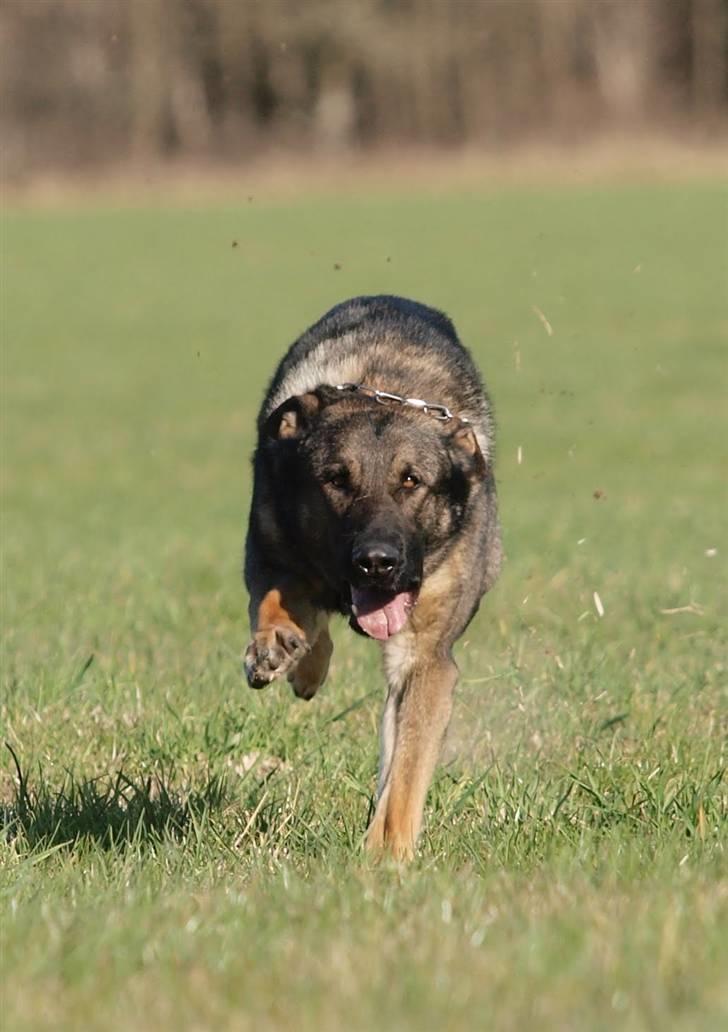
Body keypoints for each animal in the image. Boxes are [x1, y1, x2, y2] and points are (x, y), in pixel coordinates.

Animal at [243, 295, 499, 858]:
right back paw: (302, 662)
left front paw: (387, 853)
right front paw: (275, 645)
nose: (376, 562)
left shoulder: (427, 658)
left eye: (412, 481)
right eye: (336, 480)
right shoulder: (268, 546)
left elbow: (406, 769)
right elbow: (276, 594)